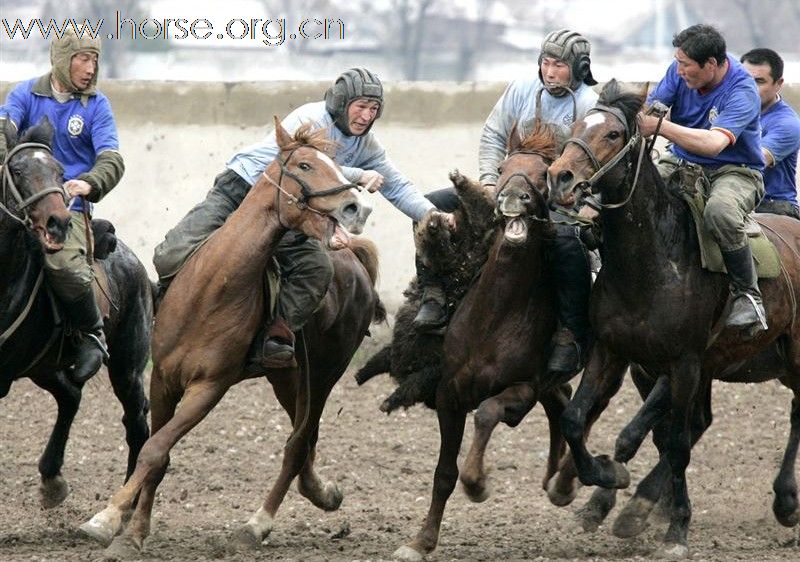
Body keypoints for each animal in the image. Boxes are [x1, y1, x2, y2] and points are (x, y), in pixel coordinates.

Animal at [0, 117, 152, 508]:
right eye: (17, 170)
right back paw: (51, 479)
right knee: (71, 395)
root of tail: (136, 264)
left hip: (127, 367)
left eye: (59, 171)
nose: (57, 221)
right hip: (43, 365)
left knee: (136, 424)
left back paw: (124, 505)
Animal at [80, 118, 382, 556]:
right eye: (305, 164)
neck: (211, 288)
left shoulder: (208, 388)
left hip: (325, 374)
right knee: (304, 441)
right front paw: (132, 532)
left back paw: (258, 524)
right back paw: (322, 492)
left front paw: (108, 518)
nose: (355, 208)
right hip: (287, 377)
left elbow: (154, 450)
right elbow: (158, 455)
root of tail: (355, 263)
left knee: (298, 443)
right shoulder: (163, 379)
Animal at [394, 123, 576, 560]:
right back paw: (558, 479)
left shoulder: (523, 389)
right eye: (505, 168)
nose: (512, 198)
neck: (495, 316)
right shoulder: (448, 393)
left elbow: (488, 413)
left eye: (544, 174)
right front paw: (421, 540)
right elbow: (444, 472)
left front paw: (477, 483)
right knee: (563, 403)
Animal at [548, 79, 800, 556]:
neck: (653, 261)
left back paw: (785, 501)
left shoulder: (684, 364)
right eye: (574, 126)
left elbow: (675, 443)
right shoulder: (614, 353)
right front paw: (605, 481)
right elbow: (576, 420)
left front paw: (676, 528)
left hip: (793, 359)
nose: (560, 178)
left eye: (613, 134)